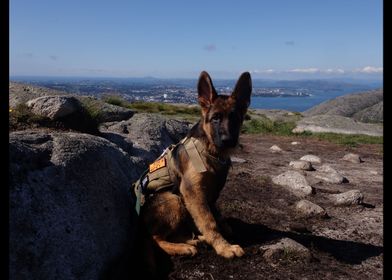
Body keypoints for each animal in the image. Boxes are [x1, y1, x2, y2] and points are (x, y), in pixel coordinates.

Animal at [140, 71, 251, 260]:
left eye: (236, 119)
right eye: (215, 119)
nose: (229, 141)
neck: (210, 150)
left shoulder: (210, 194)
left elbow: (215, 215)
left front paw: (220, 234)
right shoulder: (193, 192)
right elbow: (209, 221)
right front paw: (224, 247)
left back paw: (196, 240)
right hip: (174, 199)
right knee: (156, 238)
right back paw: (183, 248)